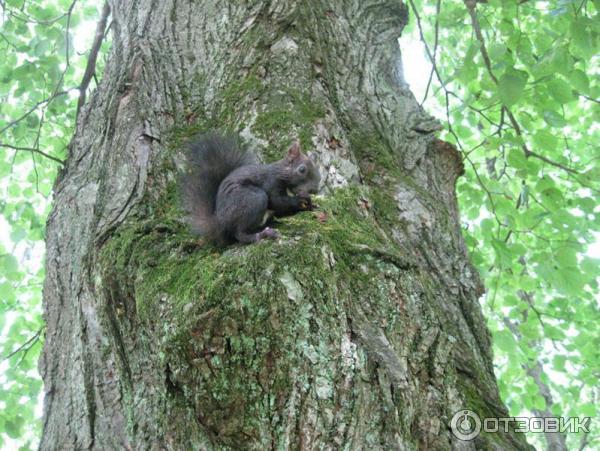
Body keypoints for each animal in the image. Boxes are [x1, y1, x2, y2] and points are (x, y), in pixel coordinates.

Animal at [180, 132, 322, 245]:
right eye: (302, 169)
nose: (313, 190)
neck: (280, 173)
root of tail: (220, 222)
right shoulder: (271, 182)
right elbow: (276, 201)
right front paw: (300, 200)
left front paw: (311, 205)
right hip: (252, 199)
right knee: (240, 233)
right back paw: (263, 235)